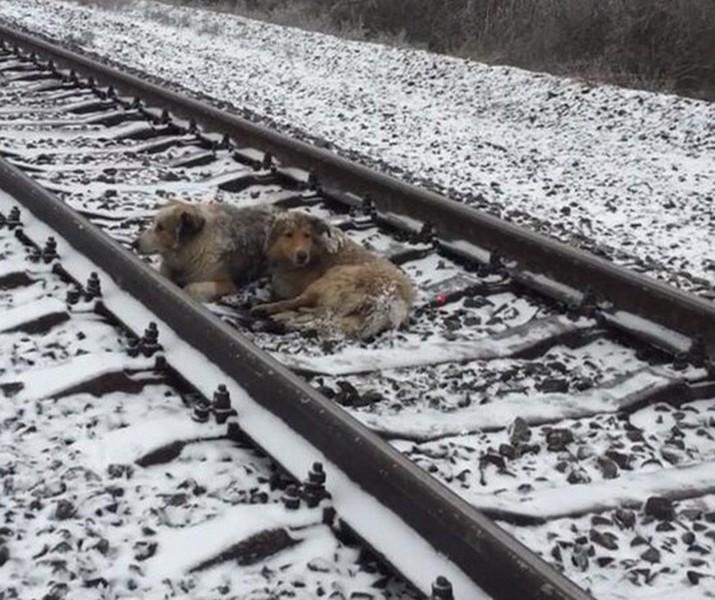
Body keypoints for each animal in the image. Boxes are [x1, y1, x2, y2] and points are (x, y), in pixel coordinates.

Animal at [255, 213, 416, 340]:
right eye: (288, 234)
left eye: (307, 235)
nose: (302, 255)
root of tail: (385, 302)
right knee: (321, 313)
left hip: (333, 278)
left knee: (308, 305)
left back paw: (267, 309)